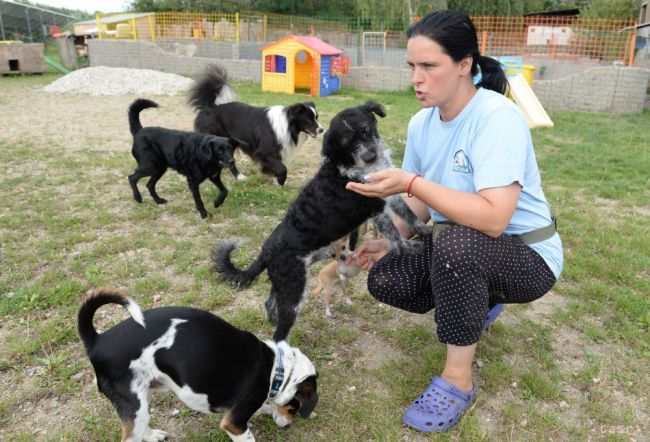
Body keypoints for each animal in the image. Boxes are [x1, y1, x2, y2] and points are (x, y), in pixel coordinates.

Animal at [77, 288, 318, 440]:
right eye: (294, 409)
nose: (289, 426)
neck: (276, 369)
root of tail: (97, 341)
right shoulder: (235, 424)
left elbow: (265, 407)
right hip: (135, 406)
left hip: (143, 399)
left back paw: (153, 435)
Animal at [186, 64, 322, 185]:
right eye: (309, 119)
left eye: (316, 118)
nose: (321, 129)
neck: (287, 124)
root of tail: (210, 106)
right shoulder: (263, 152)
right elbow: (282, 167)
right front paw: (281, 181)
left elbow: (278, 166)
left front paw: (276, 181)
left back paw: (239, 177)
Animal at [210, 102, 428, 340]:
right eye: (346, 142)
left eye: (366, 129)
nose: (371, 156)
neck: (349, 166)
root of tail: (265, 252)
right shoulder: (376, 209)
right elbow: (395, 235)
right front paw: (411, 247)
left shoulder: (390, 195)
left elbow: (409, 214)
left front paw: (424, 230)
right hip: (293, 290)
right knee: (279, 332)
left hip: (283, 284)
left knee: (269, 303)